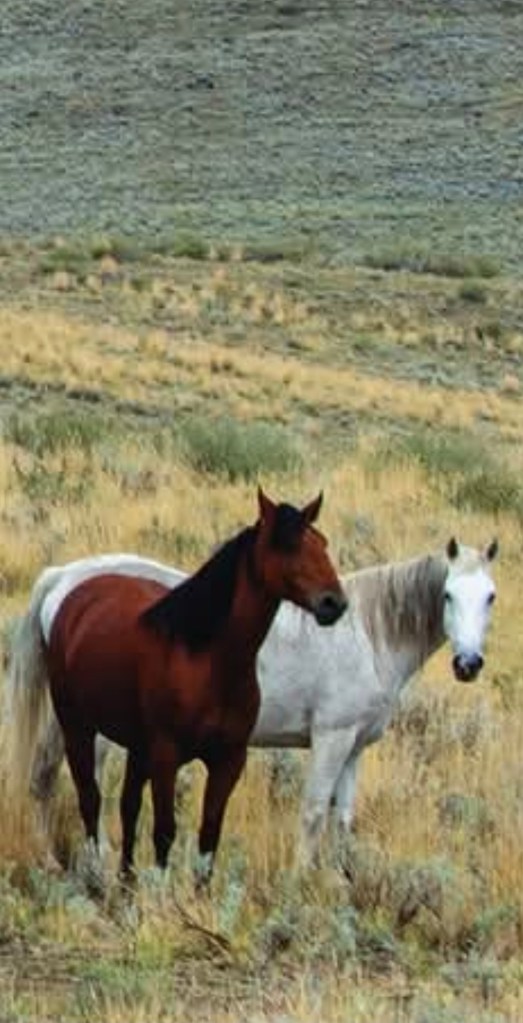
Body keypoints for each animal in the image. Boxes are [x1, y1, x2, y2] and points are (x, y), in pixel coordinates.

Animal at [4, 488, 347, 884]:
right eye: (287, 545)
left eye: (322, 543)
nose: (334, 603)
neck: (208, 660)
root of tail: (67, 587)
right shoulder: (166, 756)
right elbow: (165, 831)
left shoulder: (228, 759)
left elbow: (208, 837)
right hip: (78, 728)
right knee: (89, 799)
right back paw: (98, 875)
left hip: (136, 746)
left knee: (128, 807)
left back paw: (126, 880)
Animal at [8, 536, 497, 866]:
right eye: (448, 595)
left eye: (490, 597)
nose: (469, 664)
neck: (365, 634)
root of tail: (64, 579)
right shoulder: (331, 738)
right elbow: (313, 813)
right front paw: (301, 882)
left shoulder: (354, 746)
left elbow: (342, 819)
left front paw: (342, 883)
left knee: (45, 776)